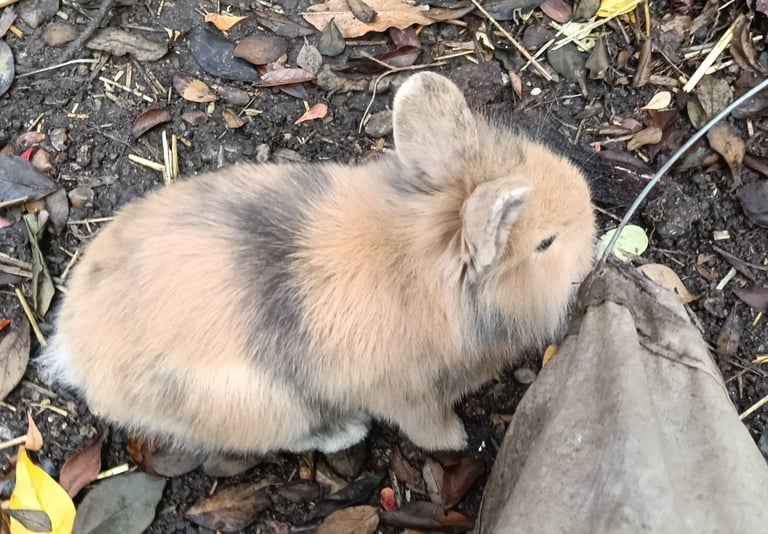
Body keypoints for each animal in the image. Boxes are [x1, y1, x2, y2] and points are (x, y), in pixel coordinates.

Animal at [40, 72, 596, 456]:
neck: (421, 255)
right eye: (546, 243)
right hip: (266, 409)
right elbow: (426, 427)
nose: (592, 220)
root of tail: (76, 349)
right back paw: (345, 433)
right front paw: (457, 441)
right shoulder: (409, 396)